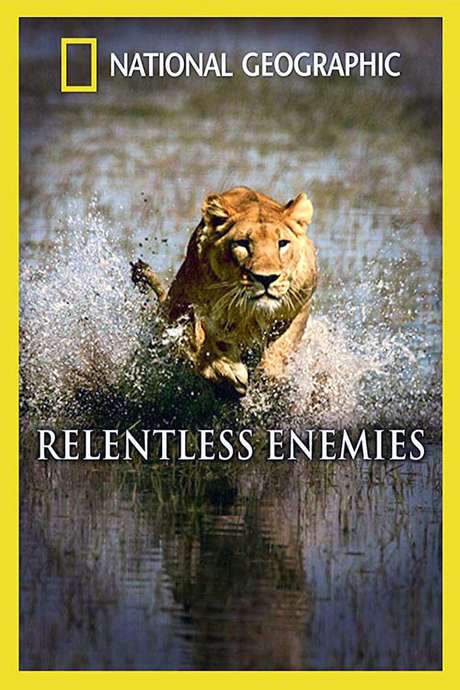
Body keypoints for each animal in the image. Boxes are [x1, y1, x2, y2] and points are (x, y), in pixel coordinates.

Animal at [132, 186, 317, 396]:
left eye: (282, 243)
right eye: (243, 243)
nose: (266, 278)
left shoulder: (301, 304)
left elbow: (284, 343)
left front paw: (270, 378)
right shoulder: (183, 303)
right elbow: (202, 338)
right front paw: (227, 369)